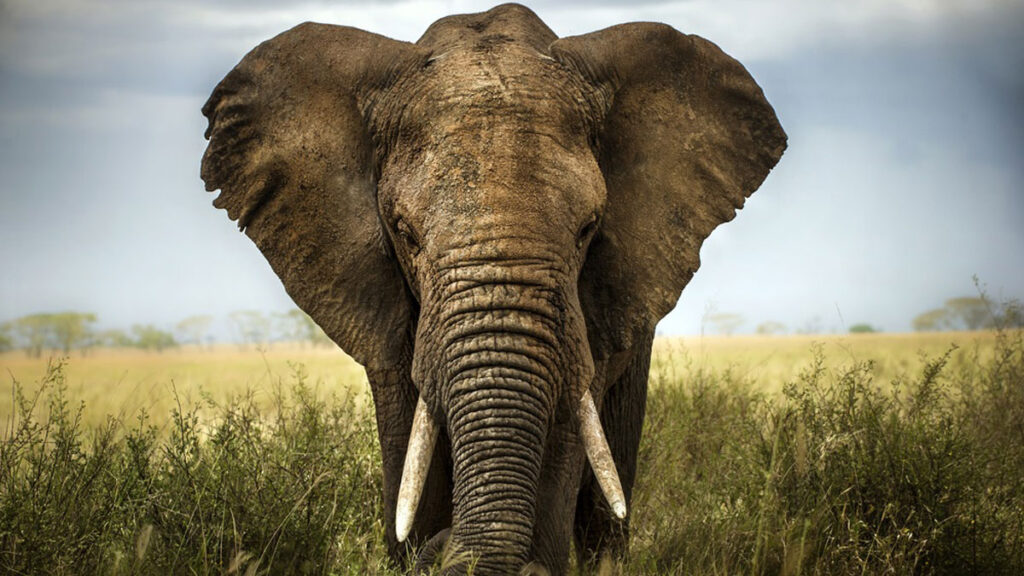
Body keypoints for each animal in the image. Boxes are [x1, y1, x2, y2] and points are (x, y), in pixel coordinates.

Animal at [200, 3, 785, 574]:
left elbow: (567, 428)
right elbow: (407, 434)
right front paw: (415, 545)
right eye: (404, 232)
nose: (443, 546)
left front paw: (531, 561)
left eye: (588, 228)